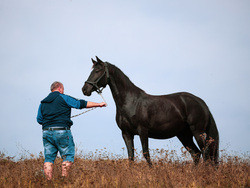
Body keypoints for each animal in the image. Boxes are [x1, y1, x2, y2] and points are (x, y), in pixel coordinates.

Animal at [82, 56, 219, 164]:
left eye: (98, 70)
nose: (84, 89)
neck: (130, 102)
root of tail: (201, 102)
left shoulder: (143, 131)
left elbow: (146, 154)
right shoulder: (126, 133)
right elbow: (131, 156)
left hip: (197, 132)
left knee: (206, 153)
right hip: (184, 134)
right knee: (196, 154)